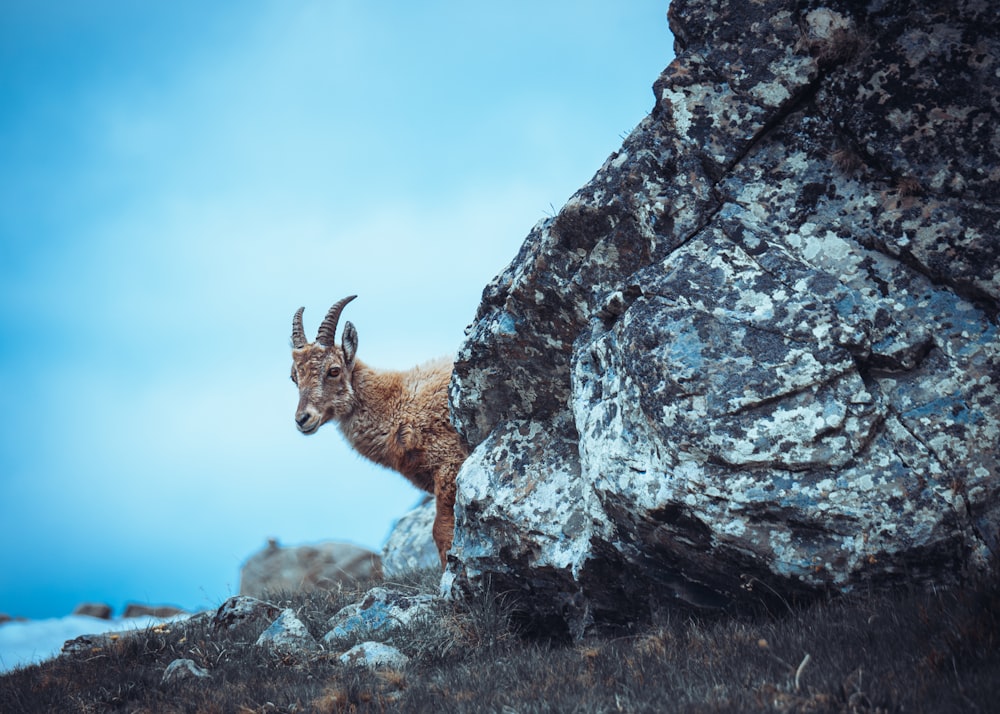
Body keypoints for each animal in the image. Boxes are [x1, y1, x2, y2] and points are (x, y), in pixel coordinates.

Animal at [286, 294, 464, 568]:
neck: (396, 404)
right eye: (294, 376)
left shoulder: (449, 464)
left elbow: (441, 531)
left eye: (334, 370)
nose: (303, 419)